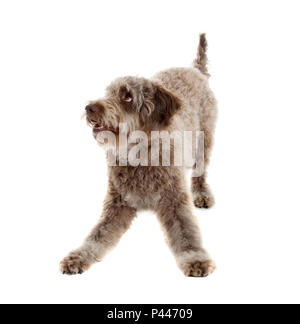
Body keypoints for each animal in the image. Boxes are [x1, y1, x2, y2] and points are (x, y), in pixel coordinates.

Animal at [59, 34, 218, 276]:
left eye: (127, 97)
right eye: (108, 93)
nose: (89, 108)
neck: (141, 153)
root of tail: (194, 70)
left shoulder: (175, 202)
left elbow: (187, 233)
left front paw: (195, 259)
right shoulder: (116, 205)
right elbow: (96, 236)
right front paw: (78, 256)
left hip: (204, 141)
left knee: (200, 172)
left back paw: (201, 193)